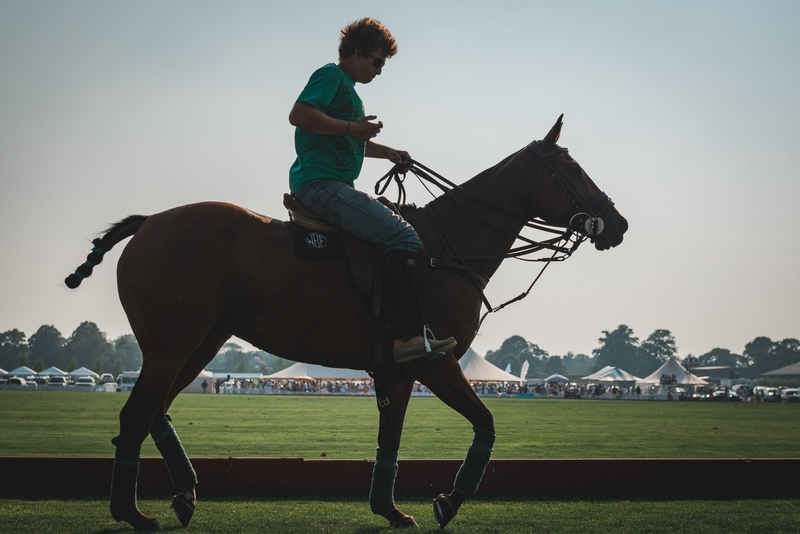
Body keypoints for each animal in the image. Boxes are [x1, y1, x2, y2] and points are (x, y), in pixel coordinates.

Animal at [67, 116, 624, 532]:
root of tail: (148, 223)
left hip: (201, 342)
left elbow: (390, 439)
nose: (617, 225)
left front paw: (391, 510)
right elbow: (485, 421)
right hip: (171, 344)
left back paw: (183, 494)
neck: (448, 248)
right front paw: (448, 501)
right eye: (573, 168)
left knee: (154, 411)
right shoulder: (434, 358)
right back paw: (133, 513)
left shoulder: (399, 369)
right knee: (135, 415)